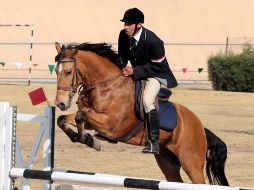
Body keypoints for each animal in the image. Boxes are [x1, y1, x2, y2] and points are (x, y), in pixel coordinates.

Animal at [54, 42, 229, 186]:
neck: (105, 86)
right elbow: (64, 119)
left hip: (191, 163)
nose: (60, 103)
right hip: (167, 162)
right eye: (56, 71)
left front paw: (90, 141)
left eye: (68, 72)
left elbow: (80, 116)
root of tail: (201, 128)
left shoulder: (111, 126)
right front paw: (85, 139)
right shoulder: (92, 120)